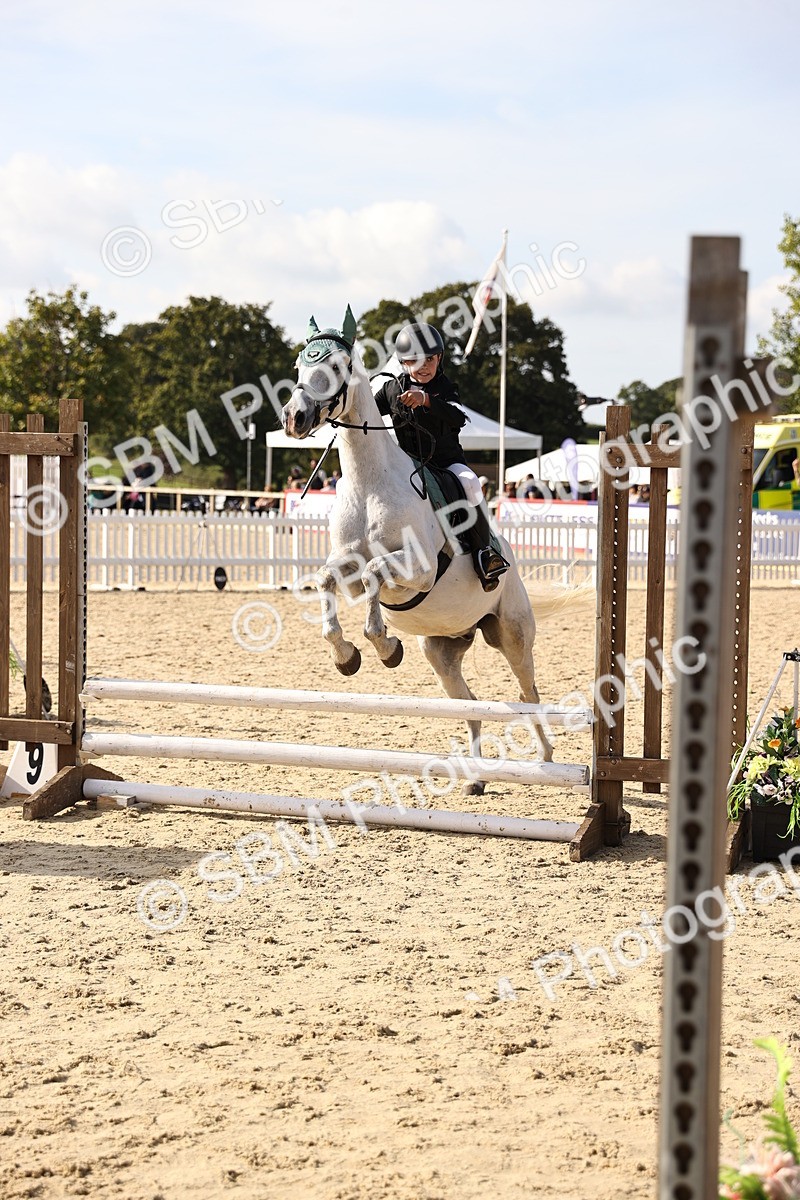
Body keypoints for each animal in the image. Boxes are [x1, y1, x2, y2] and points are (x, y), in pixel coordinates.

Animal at [281, 306, 554, 789]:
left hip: (514, 637)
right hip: (443, 652)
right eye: (299, 365)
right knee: (471, 704)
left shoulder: (419, 571)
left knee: (528, 693)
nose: (293, 417)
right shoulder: (348, 570)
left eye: (338, 365)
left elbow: (376, 577)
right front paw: (347, 657)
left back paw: (546, 757)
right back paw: (475, 776)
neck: (370, 481)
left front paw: (385, 648)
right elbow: (330, 580)